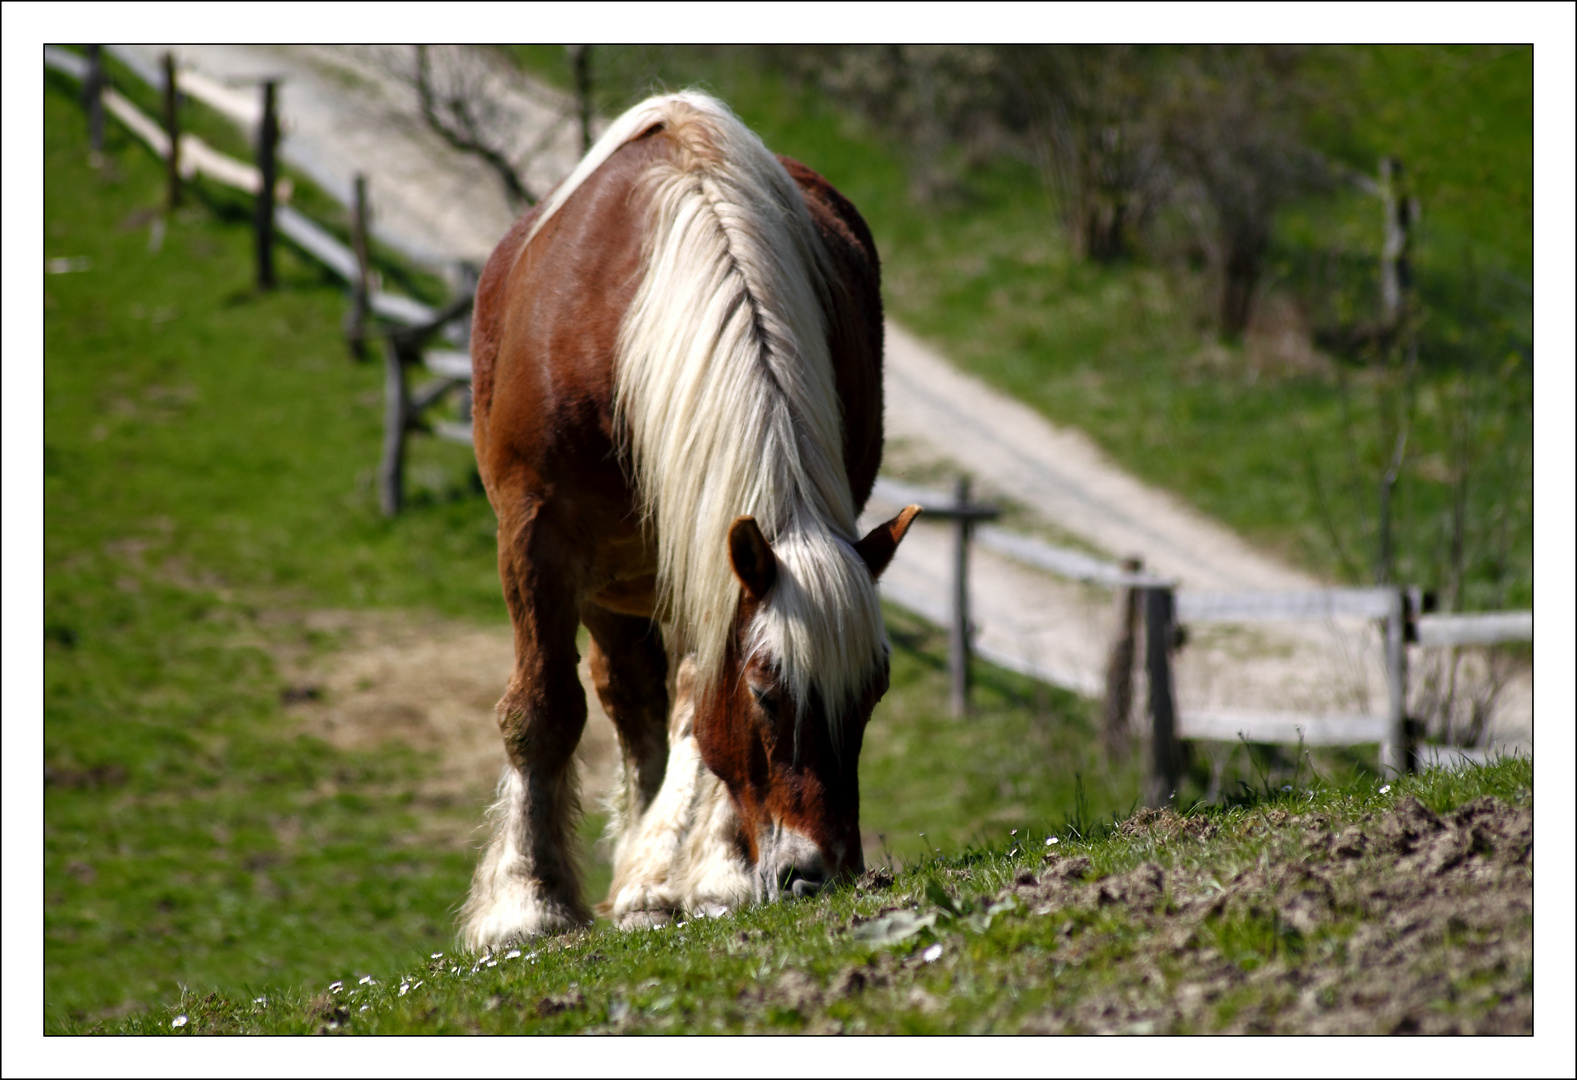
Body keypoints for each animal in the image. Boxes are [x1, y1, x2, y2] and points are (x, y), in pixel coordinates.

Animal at [457, 90, 920, 945]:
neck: (616, 333)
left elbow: (696, 714)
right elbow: (543, 708)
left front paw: (706, 871)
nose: (821, 871)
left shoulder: (711, 560)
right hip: (608, 578)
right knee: (624, 699)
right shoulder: (538, 535)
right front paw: (526, 904)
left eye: (871, 693)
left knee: (652, 706)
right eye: (768, 693)